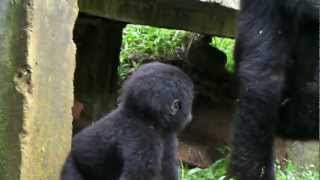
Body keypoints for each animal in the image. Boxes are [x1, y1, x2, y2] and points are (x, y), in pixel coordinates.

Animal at [61, 62, 194, 180]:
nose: (190, 116)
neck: (145, 117)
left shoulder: (167, 135)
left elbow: (167, 167)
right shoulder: (143, 137)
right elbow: (137, 175)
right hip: (70, 163)